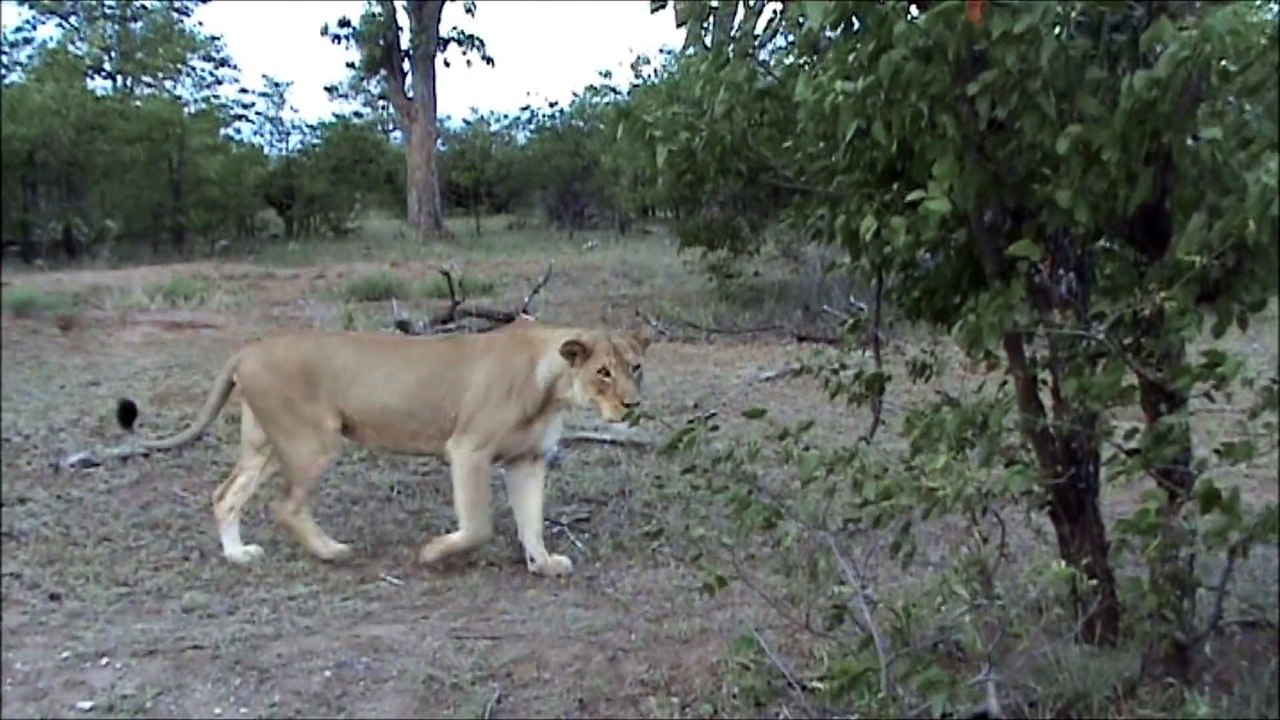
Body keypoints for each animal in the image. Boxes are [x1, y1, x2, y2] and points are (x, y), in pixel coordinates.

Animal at [116, 320, 651, 578]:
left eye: (636, 366)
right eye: (603, 371)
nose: (632, 403)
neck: (552, 386)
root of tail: (247, 349)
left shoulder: (528, 460)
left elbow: (532, 520)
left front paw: (543, 563)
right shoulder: (468, 449)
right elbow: (478, 525)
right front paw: (432, 554)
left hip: (264, 445)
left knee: (226, 494)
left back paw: (237, 555)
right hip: (313, 441)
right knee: (285, 506)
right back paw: (332, 551)